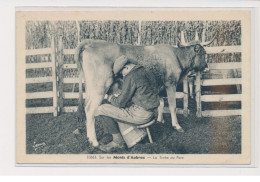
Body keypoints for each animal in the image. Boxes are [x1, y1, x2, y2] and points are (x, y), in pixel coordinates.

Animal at [75, 37, 215, 146]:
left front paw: (160, 120)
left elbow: (161, 103)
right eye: (203, 52)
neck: (177, 56)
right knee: (90, 110)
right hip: (99, 87)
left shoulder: (158, 85)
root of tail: (91, 42)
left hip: (91, 88)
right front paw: (177, 126)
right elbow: (172, 106)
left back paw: (89, 137)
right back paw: (94, 141)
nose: (206, 67)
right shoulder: (170, 83)